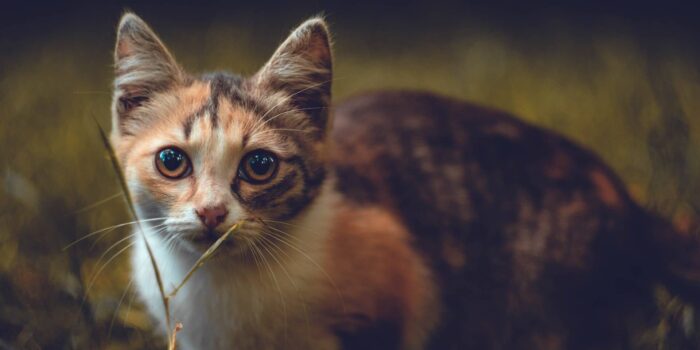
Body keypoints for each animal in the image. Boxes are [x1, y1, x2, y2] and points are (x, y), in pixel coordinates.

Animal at [110, 11, 700, 350]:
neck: (224, 281)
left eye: (259, 166)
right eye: (172, 160)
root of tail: (625, 201)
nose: (212, 213)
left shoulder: (393, 295)